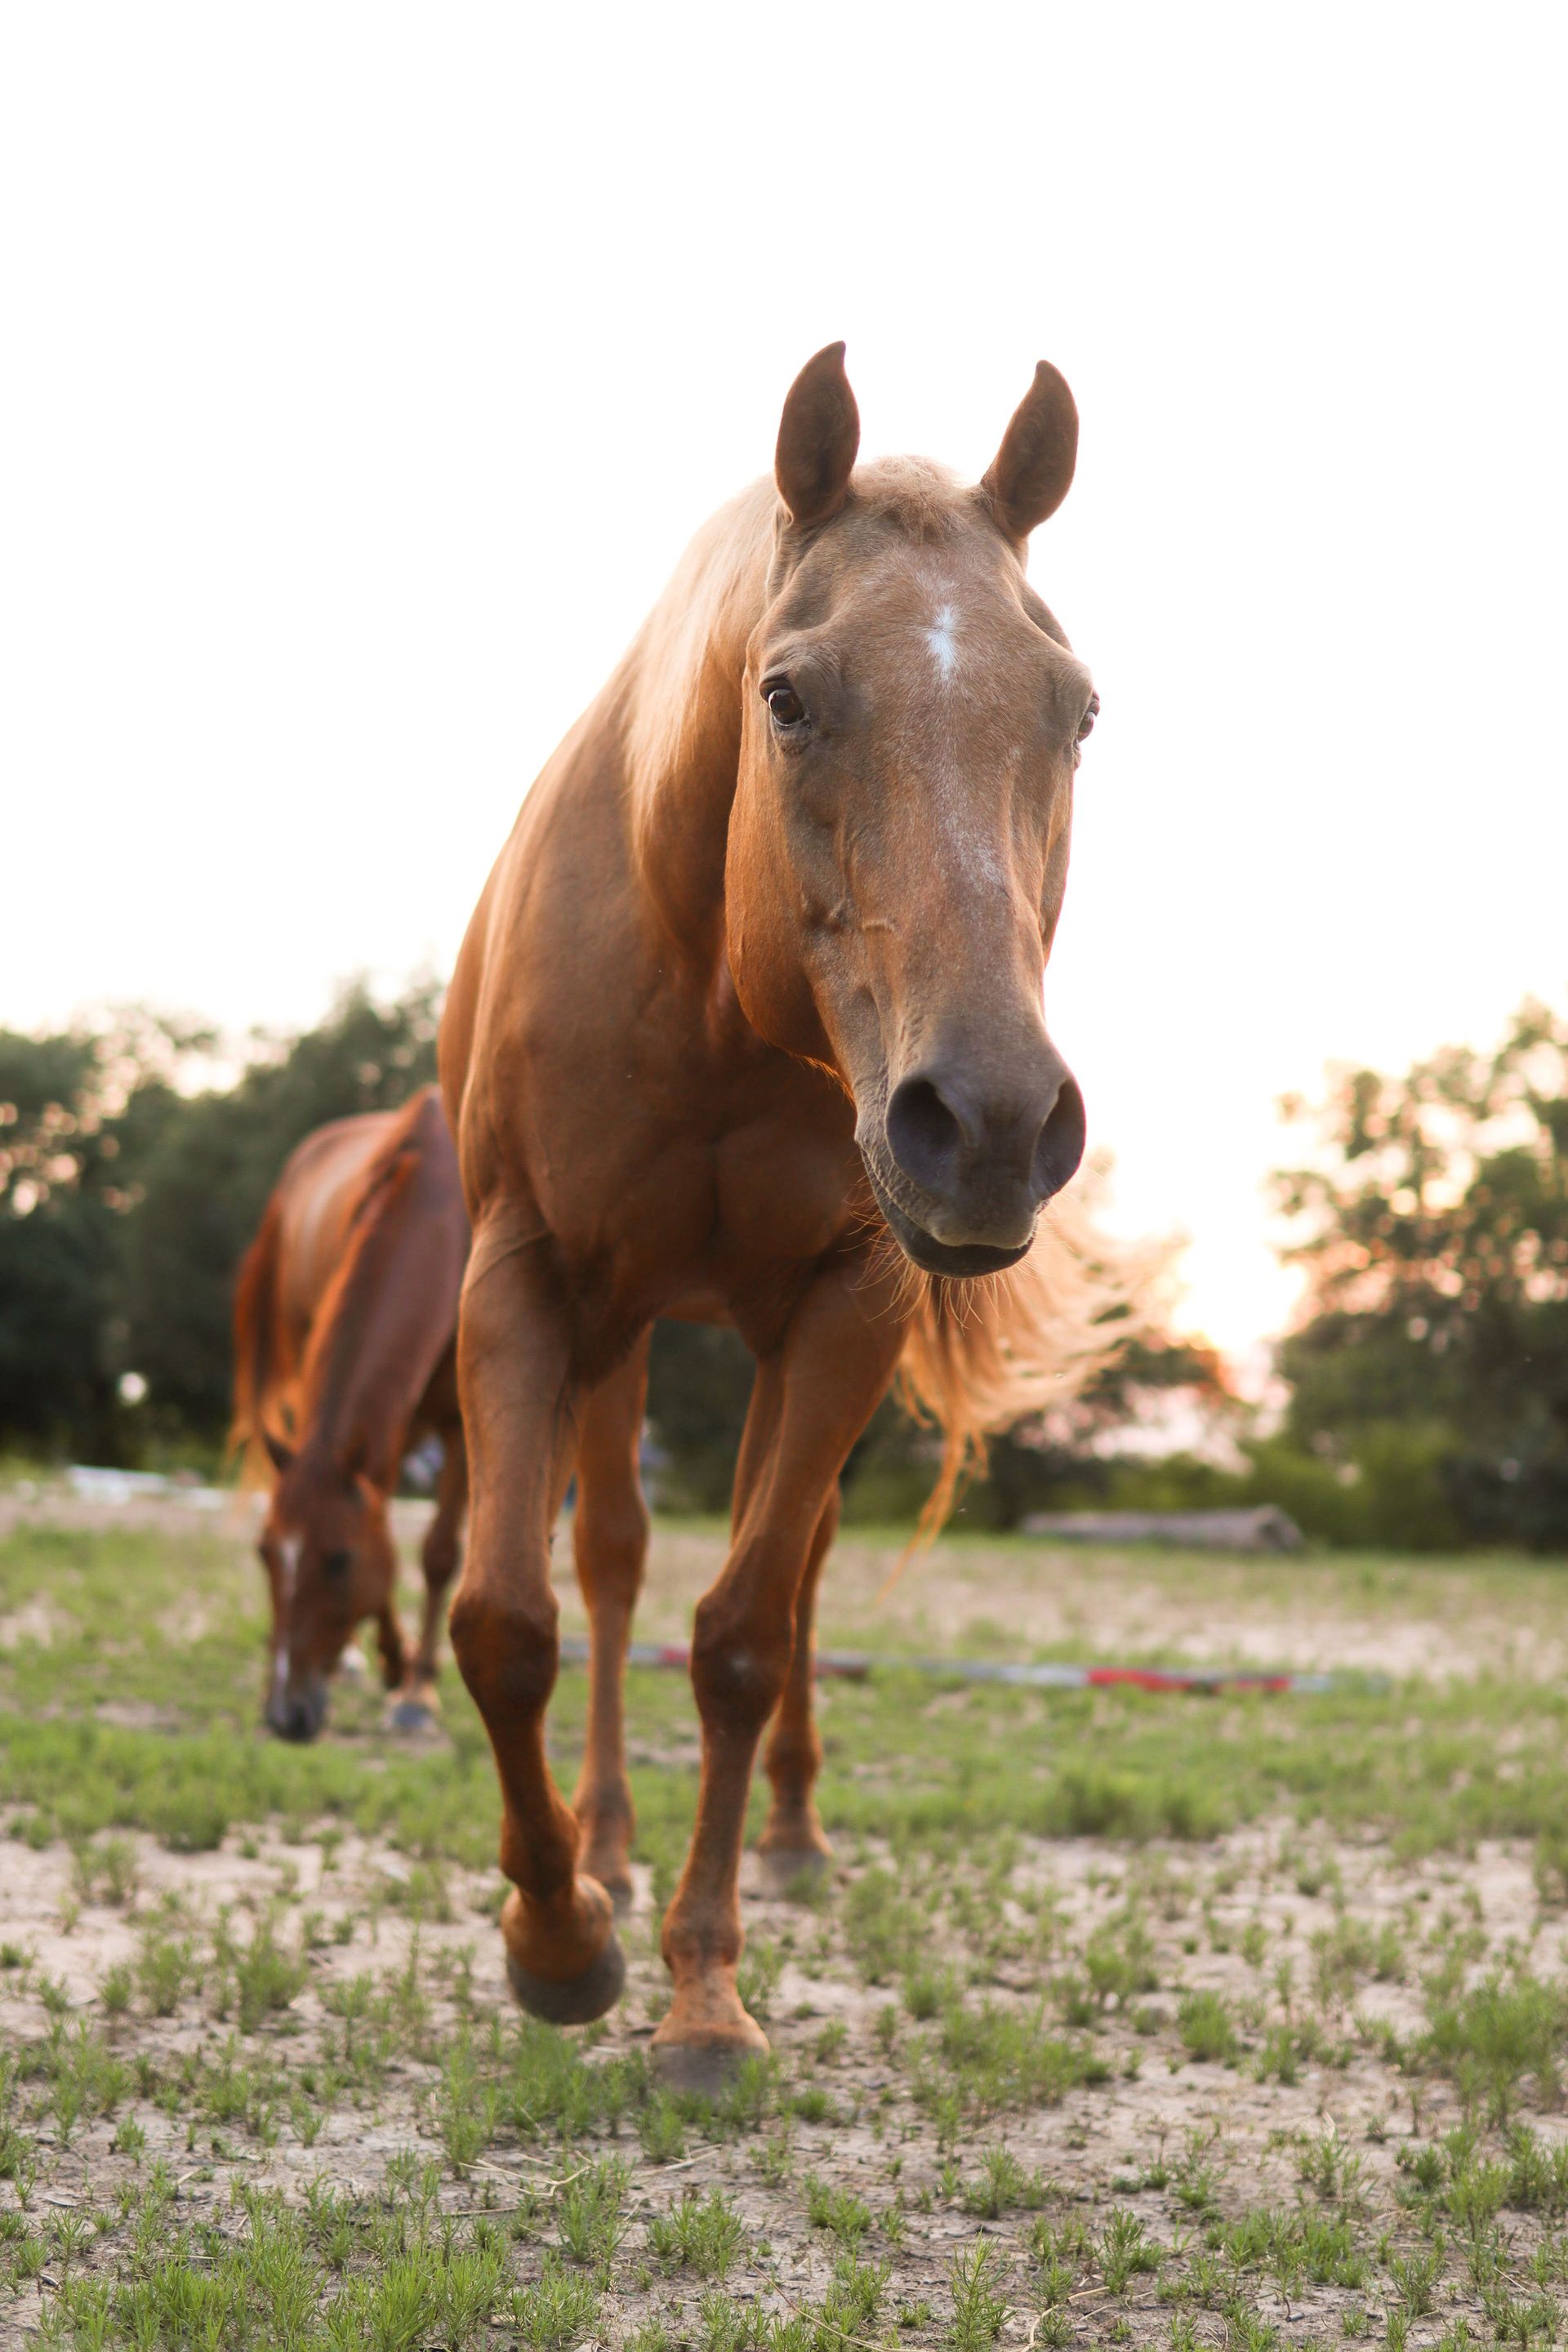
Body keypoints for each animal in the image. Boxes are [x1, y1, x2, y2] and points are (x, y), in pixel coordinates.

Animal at [230, 1086, 470, 1740]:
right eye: (264, 1554)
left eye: (339, 1561)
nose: (285, 1715)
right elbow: (380, 1521)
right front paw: (388, 1657)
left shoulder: (462, 1427)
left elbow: (437, 1553)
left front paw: (416, 1688)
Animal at [440, 345, 1119, 2089]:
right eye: (790, 695)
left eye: (1077, 709)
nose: (992, 1122)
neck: (713, 1001)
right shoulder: (526, 1277)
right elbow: (509, 1619)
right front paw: (559, 1940)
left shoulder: (845, 1308)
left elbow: (745, 1634)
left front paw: (702, 1997)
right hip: (623, 1335)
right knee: (610, 1563)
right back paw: (607, 1845)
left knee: (791, 1570)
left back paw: (794, 1839)